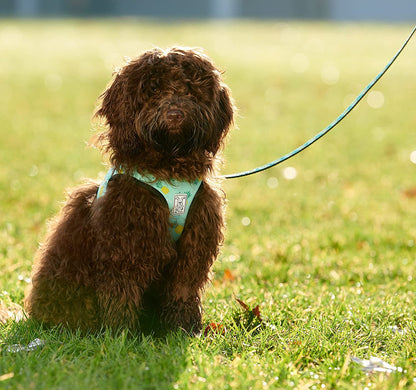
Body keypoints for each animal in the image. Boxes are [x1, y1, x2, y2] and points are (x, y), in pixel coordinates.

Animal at [24, 47, 234, 336]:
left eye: (191, 88)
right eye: (153, 88)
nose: (175, 114)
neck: (168, 167)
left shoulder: (195, 240)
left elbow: (183, 287)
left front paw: (183, 329)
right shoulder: (126, 241)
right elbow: (122, 290)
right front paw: (121, 334)